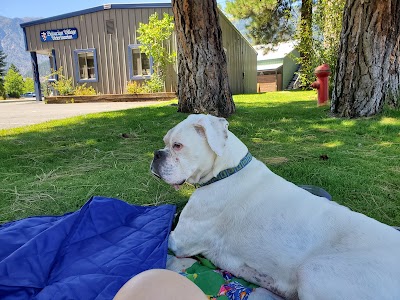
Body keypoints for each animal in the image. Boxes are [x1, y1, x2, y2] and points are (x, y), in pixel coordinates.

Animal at [151, 113, 400, 298]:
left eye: (177, 145)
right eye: (164, 143)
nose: (156, 154)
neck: (226, 171)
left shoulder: (180, 241)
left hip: (315, 271)